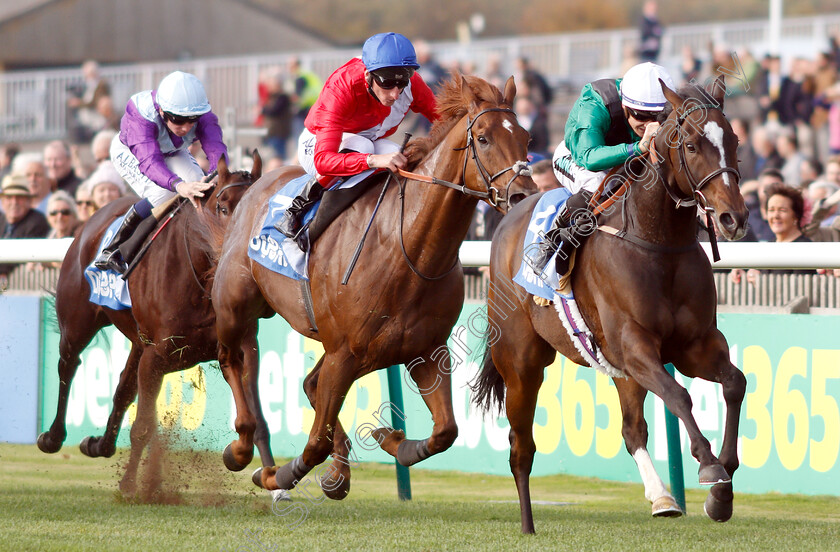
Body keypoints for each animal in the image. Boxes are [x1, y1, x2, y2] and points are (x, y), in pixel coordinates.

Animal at [38, 154, 272, 496]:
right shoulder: (157, 356)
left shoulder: (239, 344)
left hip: (137, 341)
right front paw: (129, 485)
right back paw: (53, 437)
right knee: (68, 364)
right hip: (78, 322)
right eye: (223, 207)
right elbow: (144, 426)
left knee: (123, 388)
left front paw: (257, 465)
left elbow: (255, 417)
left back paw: (100, 444)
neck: (201, 279)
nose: (244, 263)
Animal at [213, 74, 536, 496]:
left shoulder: (426, 351)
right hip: (236, 306)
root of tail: (251, 187)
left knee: (309, 383)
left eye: (527, 137)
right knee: (232, 360)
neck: (407, 250)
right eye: (482, 138)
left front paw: (392, 440)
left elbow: (446, 431)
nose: (523, 195)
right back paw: (241, 447)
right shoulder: (344, 353)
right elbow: (314, 443)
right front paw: (277, 475)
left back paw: (337, 472)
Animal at [472, 75, 748, 532]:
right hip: (522, 363)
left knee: (632, 430)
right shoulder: (635, 345)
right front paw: (709, 466)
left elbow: (733, 383)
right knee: (520, 448)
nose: (734, 218)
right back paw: (528, 524)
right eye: (691, 145)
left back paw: (662, 498)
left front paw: (722, 487)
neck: (657, 242)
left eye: (734, 141)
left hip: (615, 366)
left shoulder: (694, 345)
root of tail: (513, 210)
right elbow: (679, 396)